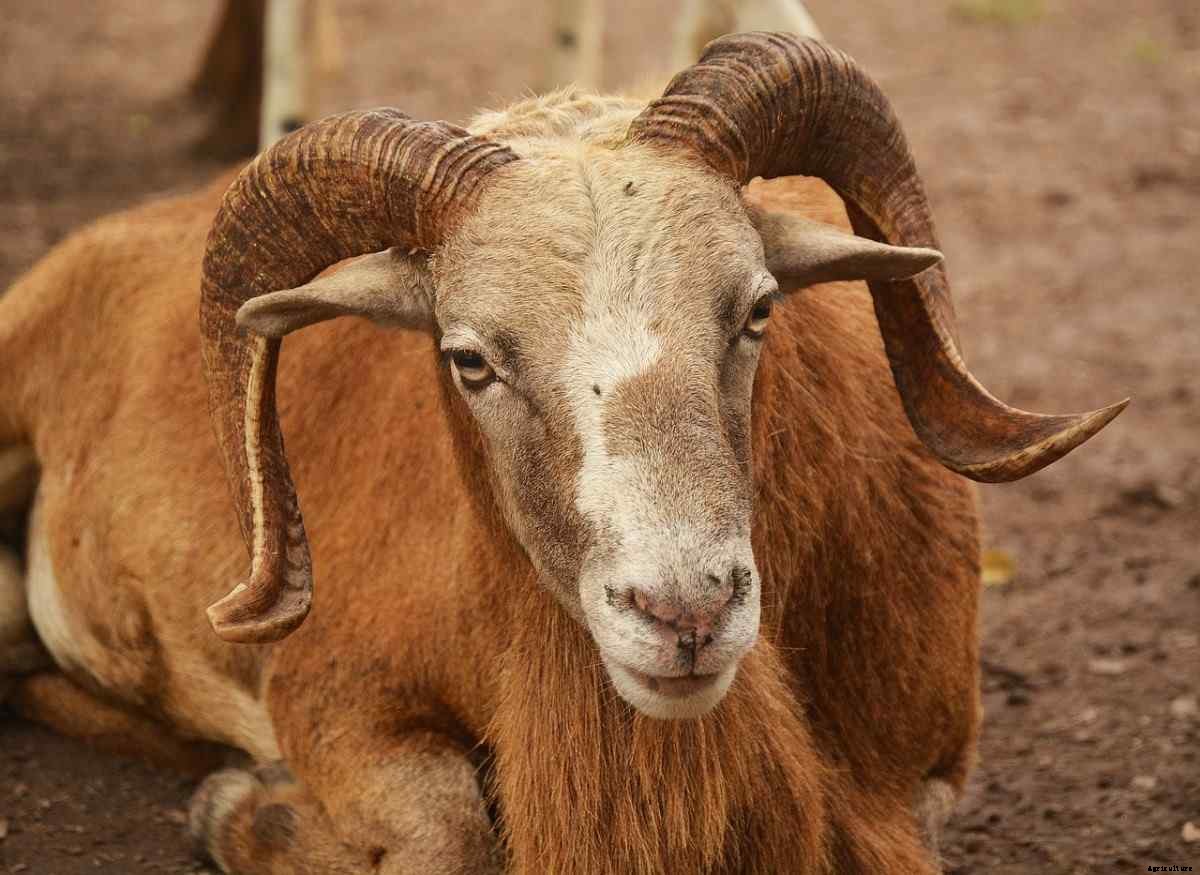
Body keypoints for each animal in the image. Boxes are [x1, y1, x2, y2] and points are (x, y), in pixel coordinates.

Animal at [0, 32, 1126, 874]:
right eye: (467, 357)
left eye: (758, 307)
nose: (684, 613)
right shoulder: (335, 698)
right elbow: (448, 836)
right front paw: (236, 806)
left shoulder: (928, 763)